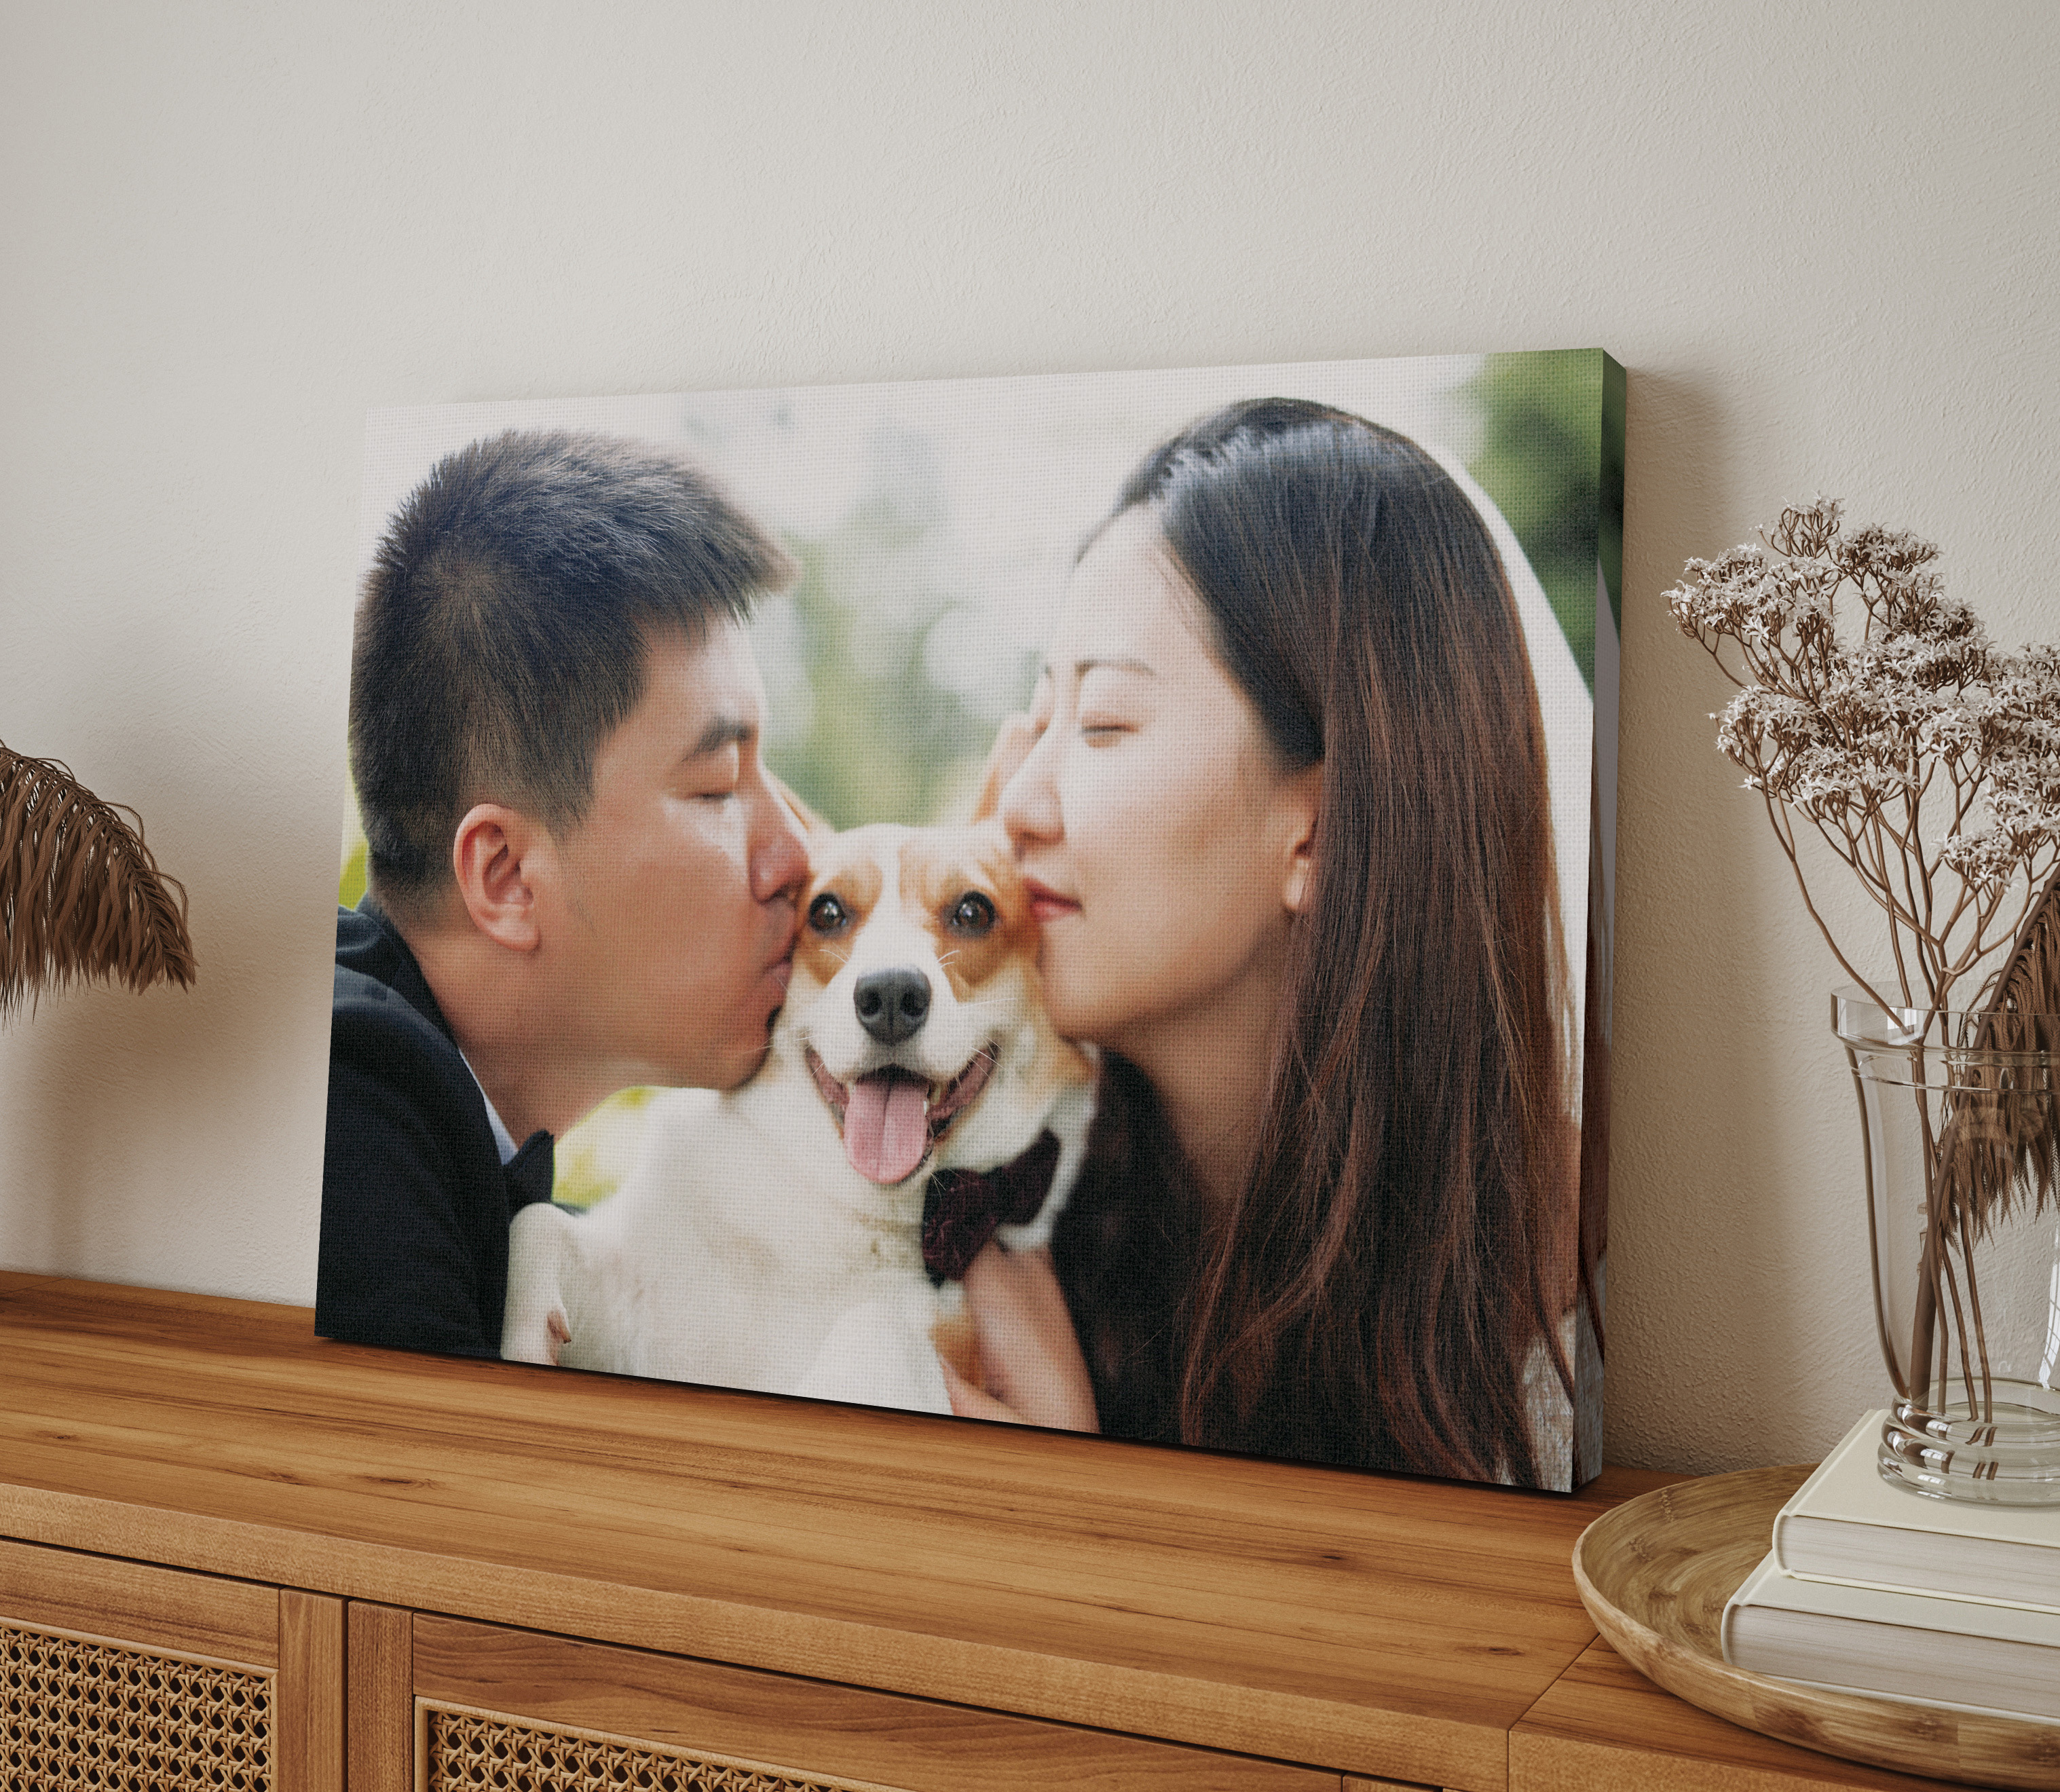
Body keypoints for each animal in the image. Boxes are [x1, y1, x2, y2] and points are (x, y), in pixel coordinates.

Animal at [496, 815, 1095, 1417]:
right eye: (826, 913)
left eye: (973, 913)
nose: (892, 994)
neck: (837, 1204)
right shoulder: (631, 1294)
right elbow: (537, 1224)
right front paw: (522, 1339)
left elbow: (876, 1328)